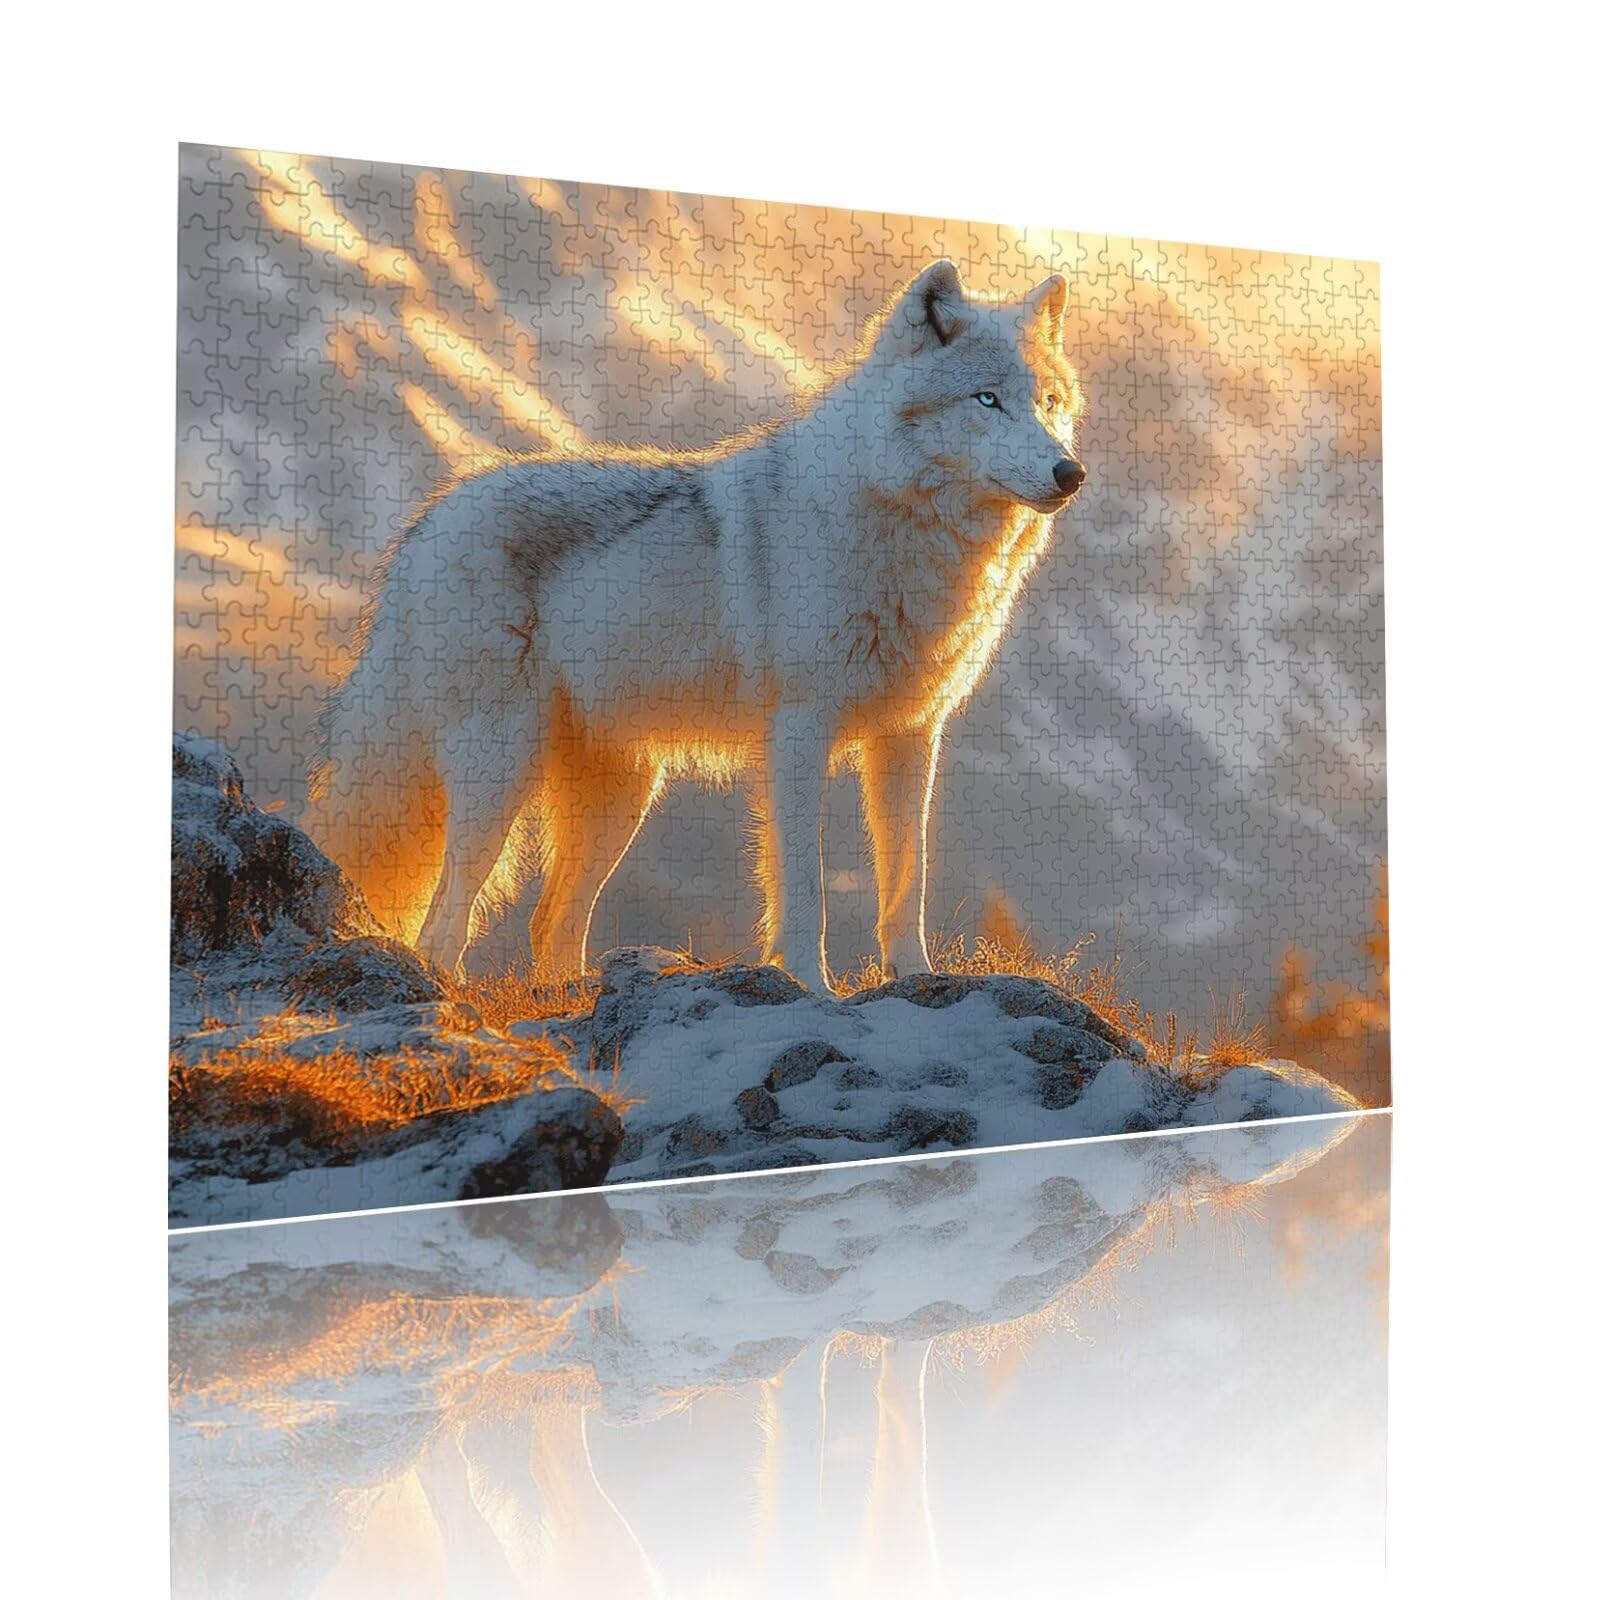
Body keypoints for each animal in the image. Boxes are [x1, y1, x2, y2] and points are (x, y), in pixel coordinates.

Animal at [307, 260, 1086, 994]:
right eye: (987, 399)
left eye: (1048, 405)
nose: (1070, 472)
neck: (909, 533)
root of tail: (426, 521)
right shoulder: (799, 731)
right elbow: (804, 887)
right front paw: (812, 988)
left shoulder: (910, 737)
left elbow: (907, 881)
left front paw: (916, 979)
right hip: (499, 775)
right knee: (445, 922)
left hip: (621, 797)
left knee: (547, 923)